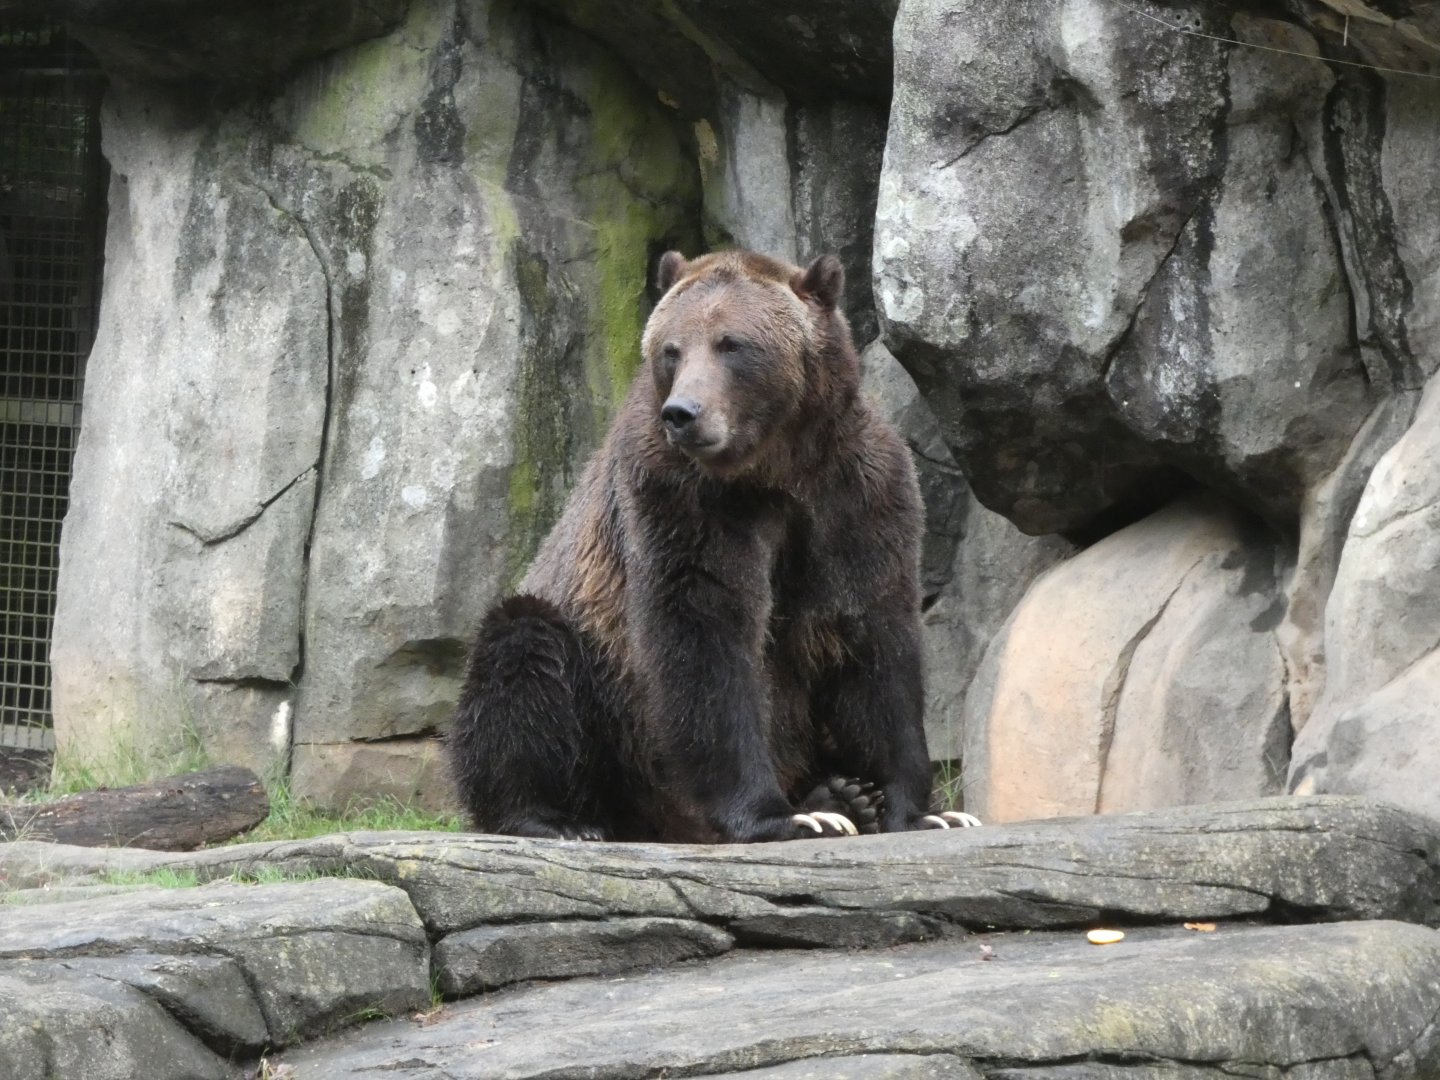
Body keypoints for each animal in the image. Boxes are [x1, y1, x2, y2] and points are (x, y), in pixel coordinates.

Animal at [447, 248, 978, 842]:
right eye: (671, 349)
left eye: (732, 344)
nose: (683, 412)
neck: (774, 468)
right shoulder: (681, 500)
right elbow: (704, 635)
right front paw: (777, 816)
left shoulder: (857, 496)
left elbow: (876, 641)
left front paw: (925, 810)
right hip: (601, 697)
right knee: (521, 657)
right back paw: (557, 819)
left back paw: (844, 795)